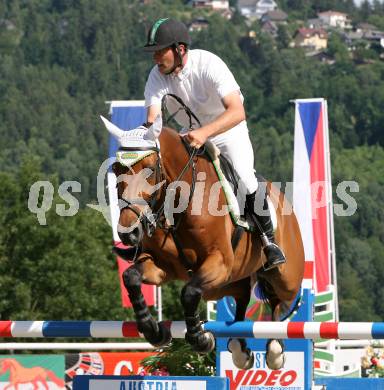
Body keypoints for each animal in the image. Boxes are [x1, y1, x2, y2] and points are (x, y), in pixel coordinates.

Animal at [100, 113, 304, 368]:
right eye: (116, 169)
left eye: (150, 169)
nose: (129, 233)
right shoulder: (162, 266)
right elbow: (131, 277)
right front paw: (153, 330)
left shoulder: (219, 263)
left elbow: (188, 292)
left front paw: (201, 338)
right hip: (224, 284)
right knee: (242, 297)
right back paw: (240, 348)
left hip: (284, 277)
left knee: (279, 302)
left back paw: (275, 349)